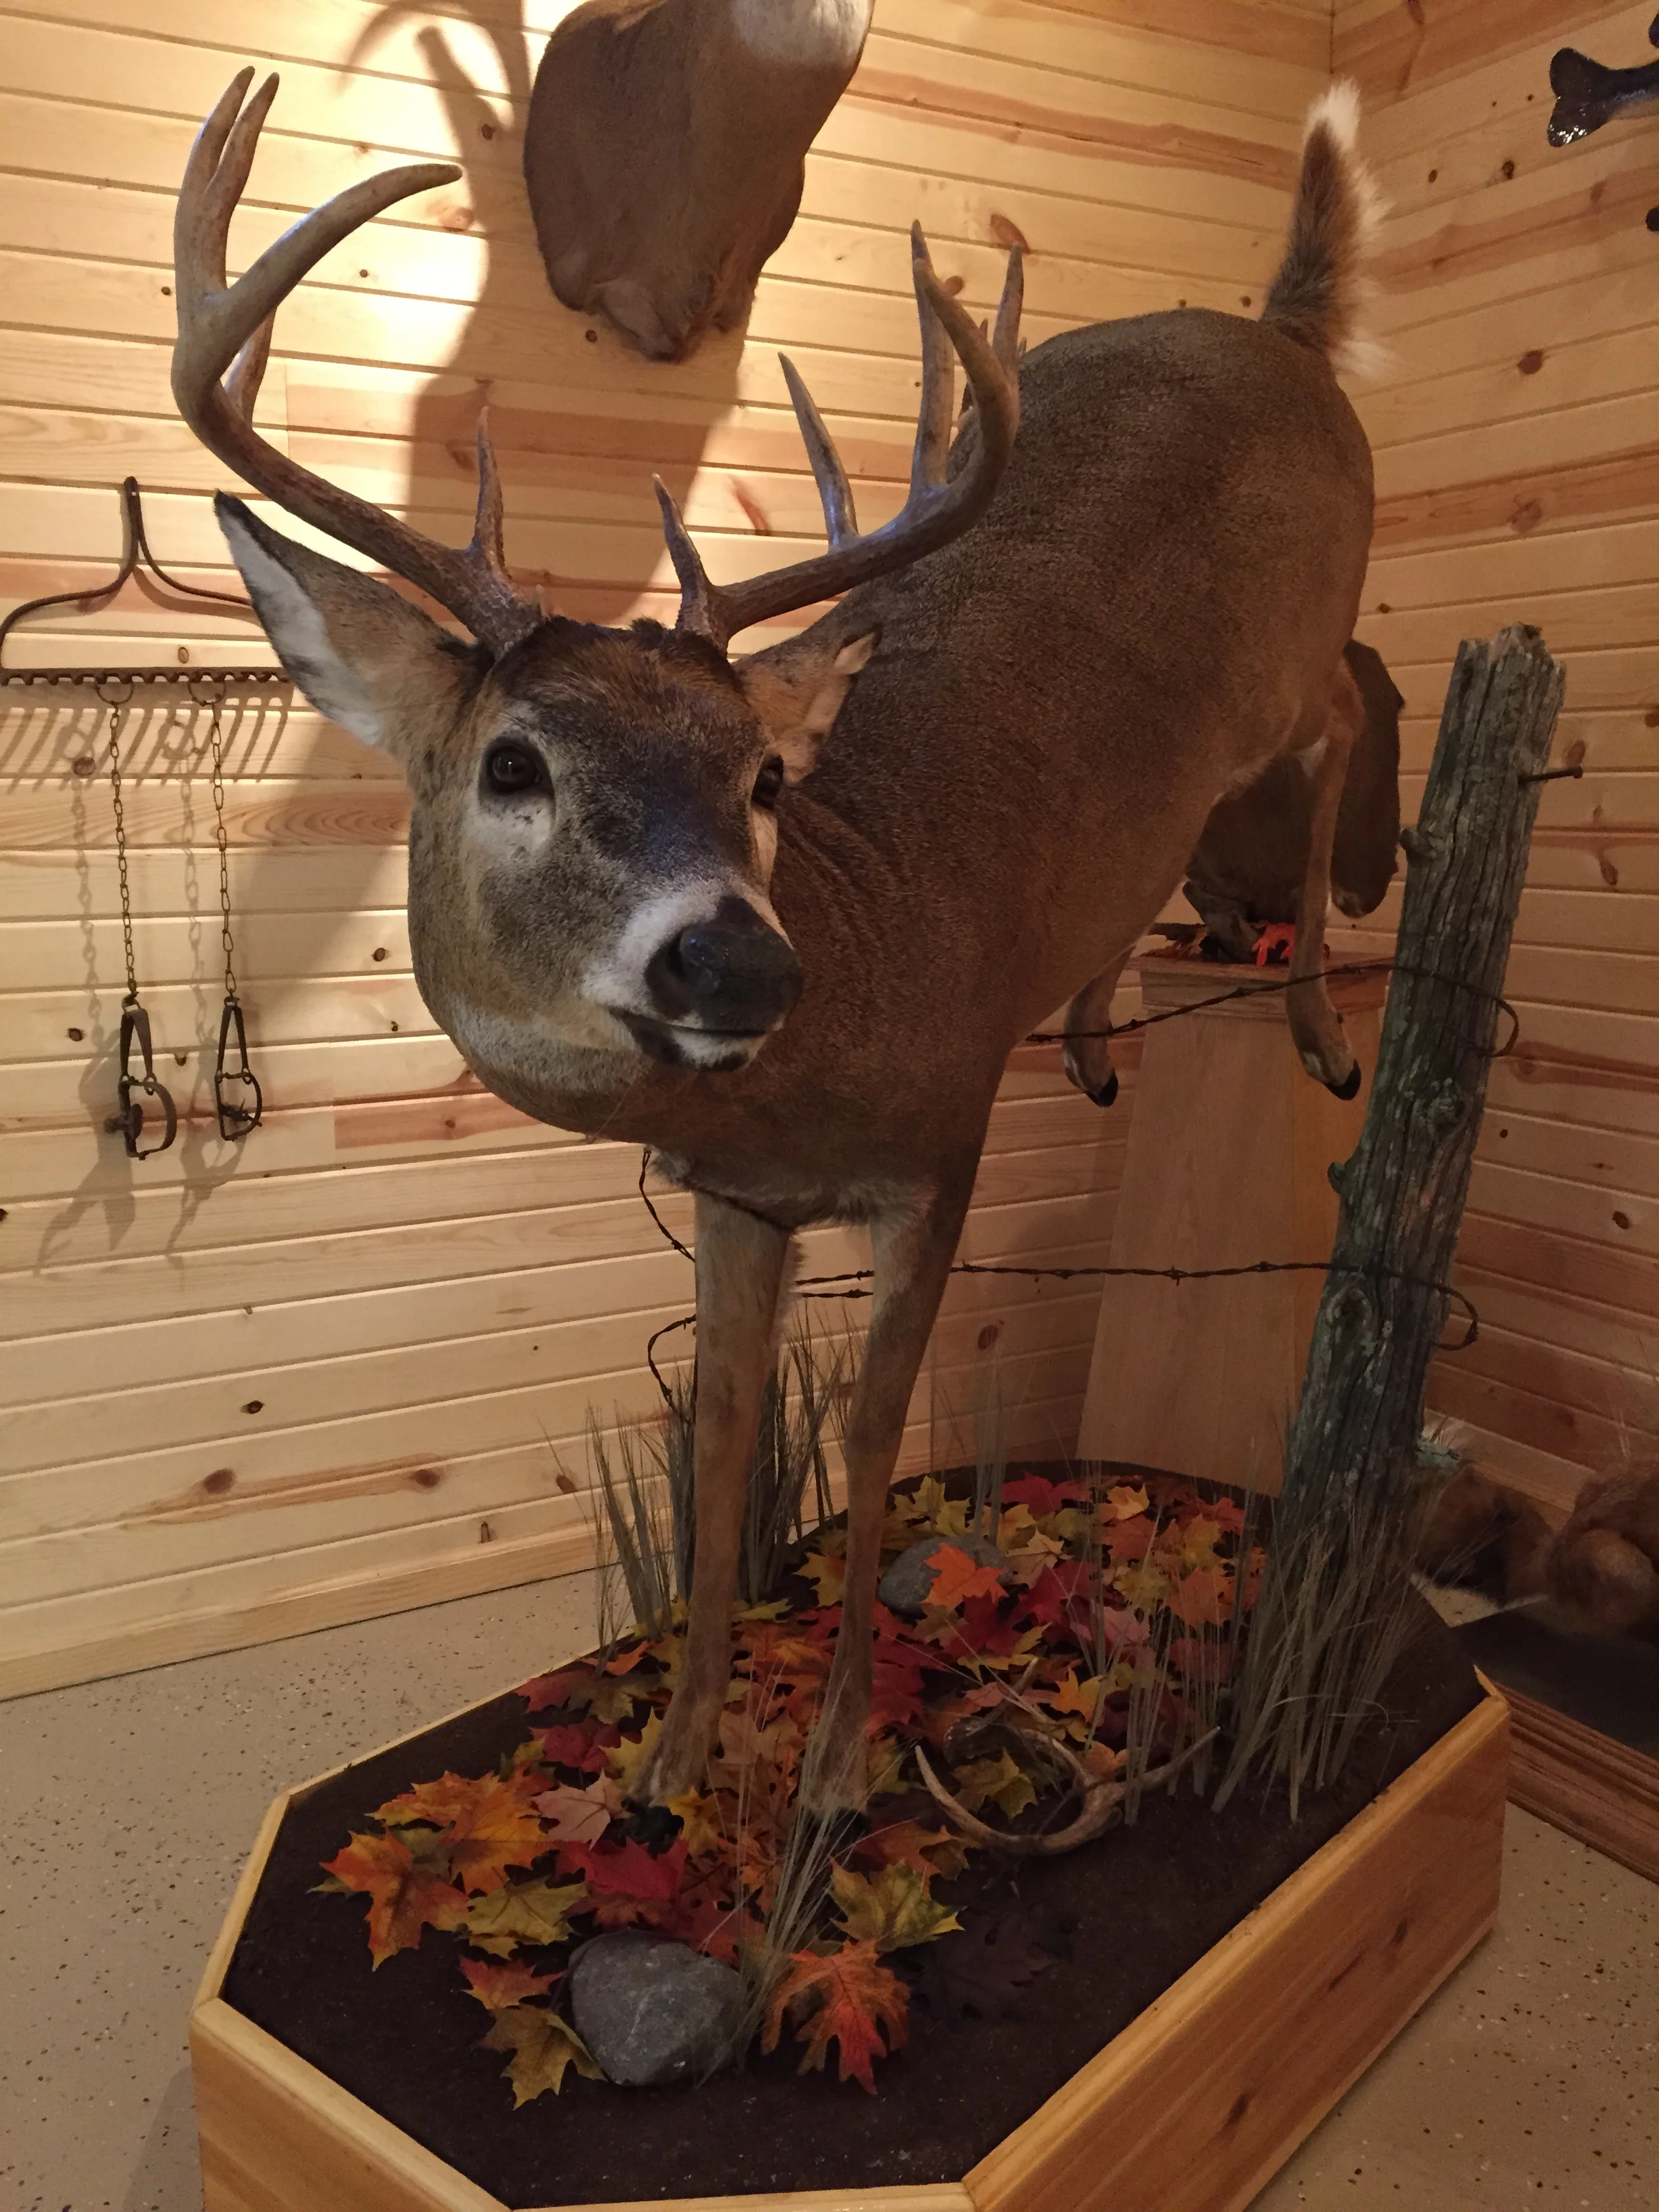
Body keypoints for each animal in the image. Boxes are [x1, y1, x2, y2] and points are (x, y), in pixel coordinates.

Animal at [173, 70, 1382, 1827]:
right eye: (511, 762)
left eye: (759, 777)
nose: (738, 967)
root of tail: (1283, 336)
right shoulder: (737, 1205)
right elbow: (725, 1436)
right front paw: (668, 1762)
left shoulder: (938, 1147)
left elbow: (873, 1432)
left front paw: (831, 1768)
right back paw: (1098, 1030)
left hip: (1300, 653)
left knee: (1352, 709)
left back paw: (1317, 1026)